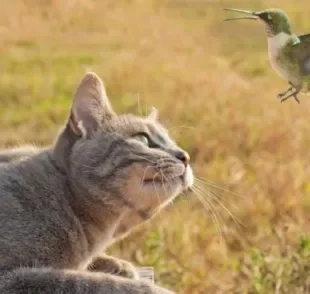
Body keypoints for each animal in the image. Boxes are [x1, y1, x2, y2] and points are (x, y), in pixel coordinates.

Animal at [0, 72, 194, 294]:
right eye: (143, 139)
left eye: (173, 142)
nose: (185, 156)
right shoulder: (11, 278)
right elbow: (87, 282)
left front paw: (118, 265)